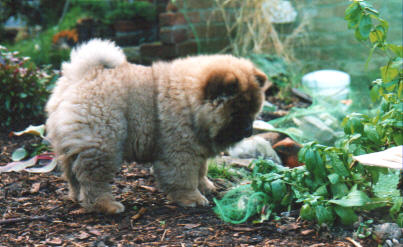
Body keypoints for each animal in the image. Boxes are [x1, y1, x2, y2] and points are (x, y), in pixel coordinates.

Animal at [45, 39, 270, 213]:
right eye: (236, 114)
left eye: (253, 112)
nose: (249, 130)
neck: (189, 102)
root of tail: (83, 76)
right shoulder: (180, 151)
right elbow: (184, 177)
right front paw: (193, 198)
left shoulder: (197, 149)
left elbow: (200, 170)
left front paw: (206, 186)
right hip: (103, 144)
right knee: (93, 179)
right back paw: (106, 205)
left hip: (71, 145)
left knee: (72, 173)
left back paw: (77, 197)